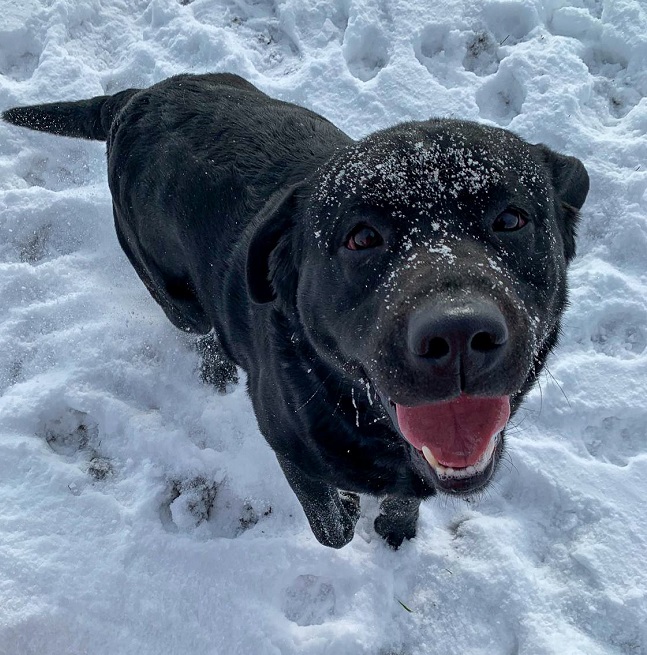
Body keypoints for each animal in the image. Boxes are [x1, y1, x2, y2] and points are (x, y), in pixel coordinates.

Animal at [2, 73, 589, 548]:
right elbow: (331, 526)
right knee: (201, 325)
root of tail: (134, 98)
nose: (459, 332)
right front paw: (349, 507)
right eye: (361, 238)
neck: (356, 410)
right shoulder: (287, 445)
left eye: (511, 219)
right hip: (170, 289)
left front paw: (397, 522)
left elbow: (407, 490)